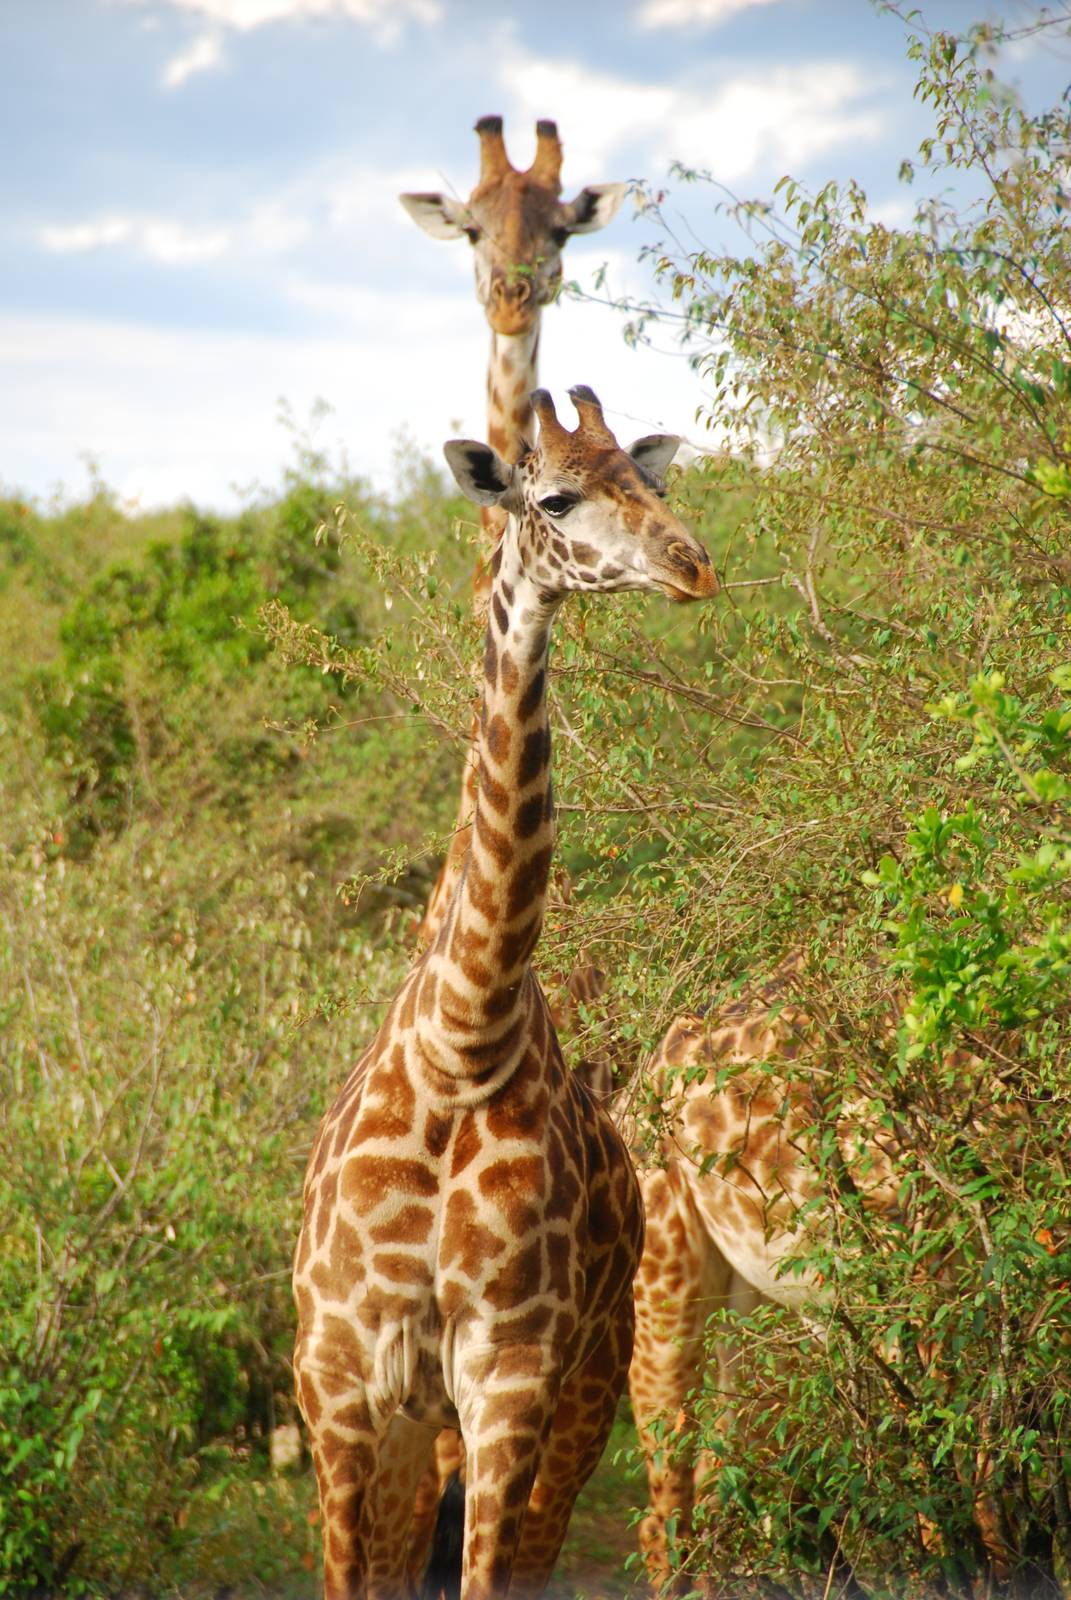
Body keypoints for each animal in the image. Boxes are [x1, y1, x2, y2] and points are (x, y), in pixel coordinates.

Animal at [292, 385, 717, 1600]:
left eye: (651, 480)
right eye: (558, 496)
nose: (693, 566)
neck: (460, 1042)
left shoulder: (511, 1381)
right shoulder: (338, 1381)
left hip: (592, 1385)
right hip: (412, 1425)